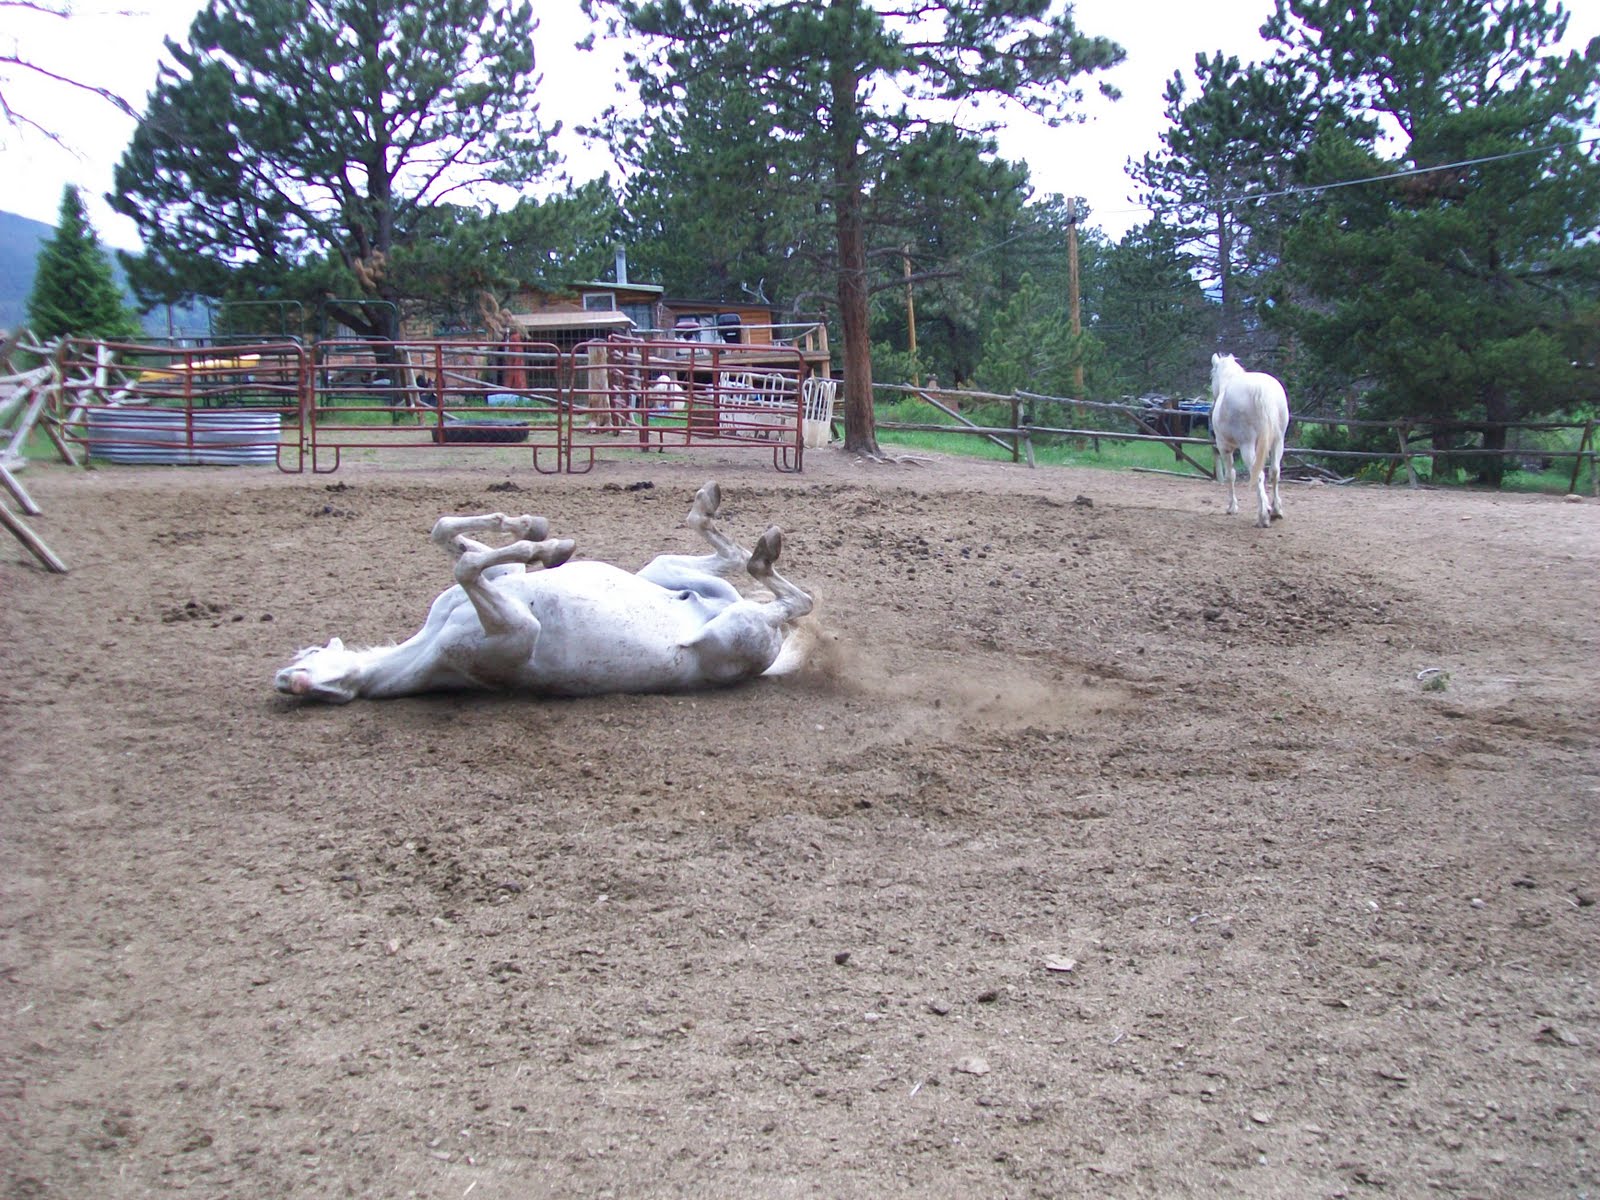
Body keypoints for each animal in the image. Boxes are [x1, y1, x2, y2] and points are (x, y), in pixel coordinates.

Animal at [274, 482, 814, 703]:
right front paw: (546, 544)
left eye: (308, 653)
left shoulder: (503, 599)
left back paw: (723, 515)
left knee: (746, 566)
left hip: (671, 575)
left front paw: (541, 538)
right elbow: (465, 561)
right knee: (789, 597)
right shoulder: (517, 627)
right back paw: (760, 548)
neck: (423, 650)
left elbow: (449, 537)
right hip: (737, 628)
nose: (283, 678)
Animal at [1209, 353, 1290, 528]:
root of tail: (1261, 390)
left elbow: (1230, 475)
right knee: (1275, 471)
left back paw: (1263, 516)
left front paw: (1232, 507)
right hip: (1278, 441)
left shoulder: (1224, 448)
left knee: (1258, 474)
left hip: (1247, 446)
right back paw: (1275, 510)